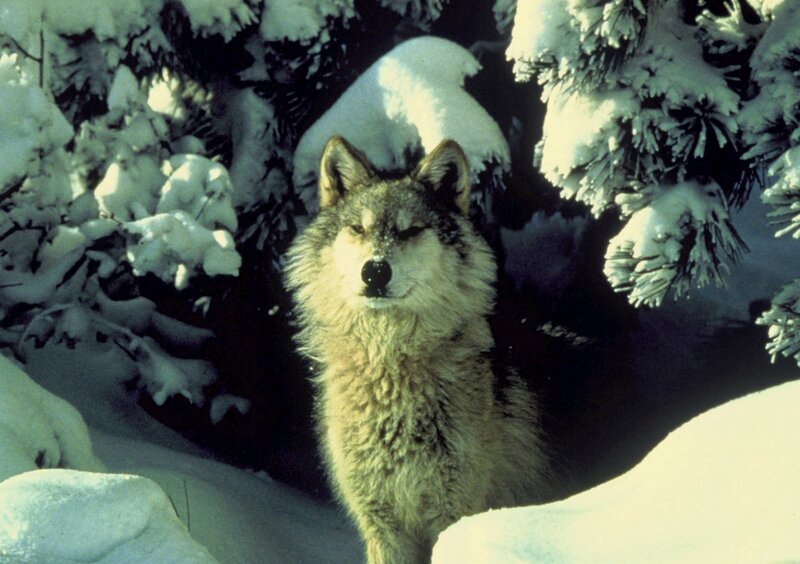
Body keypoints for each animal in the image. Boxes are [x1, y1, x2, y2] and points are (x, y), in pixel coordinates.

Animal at [284, 136, 549, 564]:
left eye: (410, 231)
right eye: (358, 229)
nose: (375, 271)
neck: (389, 369)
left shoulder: (453, 515)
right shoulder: (382, 525)